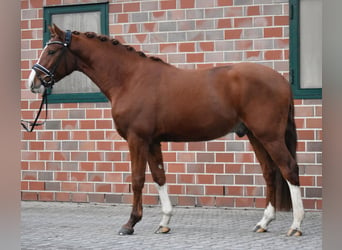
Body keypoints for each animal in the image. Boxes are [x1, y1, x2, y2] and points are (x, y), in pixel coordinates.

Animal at [28, 24, 304, 237]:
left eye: (51, 50)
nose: (34, 83)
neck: (130, 78)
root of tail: (281, 79)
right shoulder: (152, 141)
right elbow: (159, 177)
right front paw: (164, 222)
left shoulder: (137, 139)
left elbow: (137, 179)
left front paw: (130, 224)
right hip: (256, 136)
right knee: (270, 173)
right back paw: (263, 222)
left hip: (270, 136)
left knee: (288, 168)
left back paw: (296, 226)